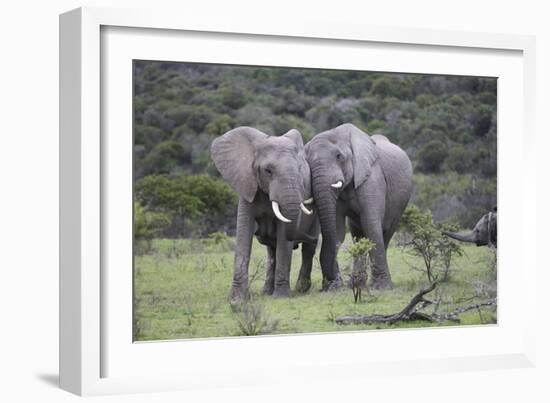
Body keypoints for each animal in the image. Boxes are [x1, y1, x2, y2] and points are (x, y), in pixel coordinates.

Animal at [212, 126, 324, 300]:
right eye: (268, 171)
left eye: (300, 170)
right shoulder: (247, 186)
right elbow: (243, 235)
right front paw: (237, 299)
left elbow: (283, 238)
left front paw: (282, 297)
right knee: (272, 251)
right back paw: (267, 291)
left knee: (307, 249)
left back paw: (300, 289)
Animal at [306, 123, 414, 290]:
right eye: (307, 161)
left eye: (339, 156)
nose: (327, 285)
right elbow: (337, 231)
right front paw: (334, 288)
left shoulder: (372, 178)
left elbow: (371, 225)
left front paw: (382, 288)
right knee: (358, 234)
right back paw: (356, 284)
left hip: (400, 204)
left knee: (385, 233)